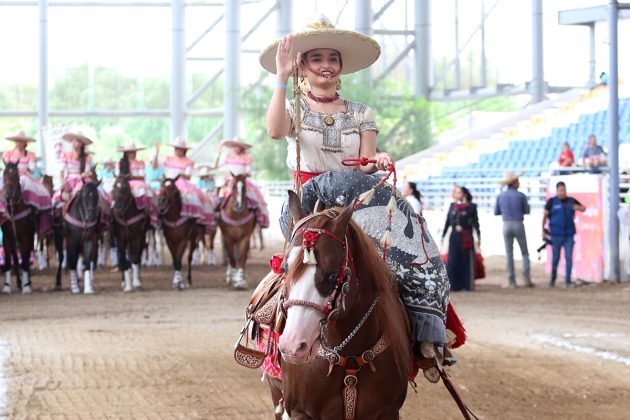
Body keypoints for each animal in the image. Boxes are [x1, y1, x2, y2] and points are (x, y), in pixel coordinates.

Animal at [0, 162, 36, 296]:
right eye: (4, 173)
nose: (8, 194)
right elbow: (8, 261)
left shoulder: (26, 236)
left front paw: (27, 287)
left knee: (26, 256)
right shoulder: (7, 238)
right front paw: (6, 287)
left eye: (16, 174)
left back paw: (27, 282)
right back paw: (19, 283)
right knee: (16, 258)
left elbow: (25, 260)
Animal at [272, 191, 414, 420]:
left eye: (332, 275)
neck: (350, 358)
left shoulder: (388, 411)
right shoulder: (300, 412)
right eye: (285, 268)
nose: (292, 345)